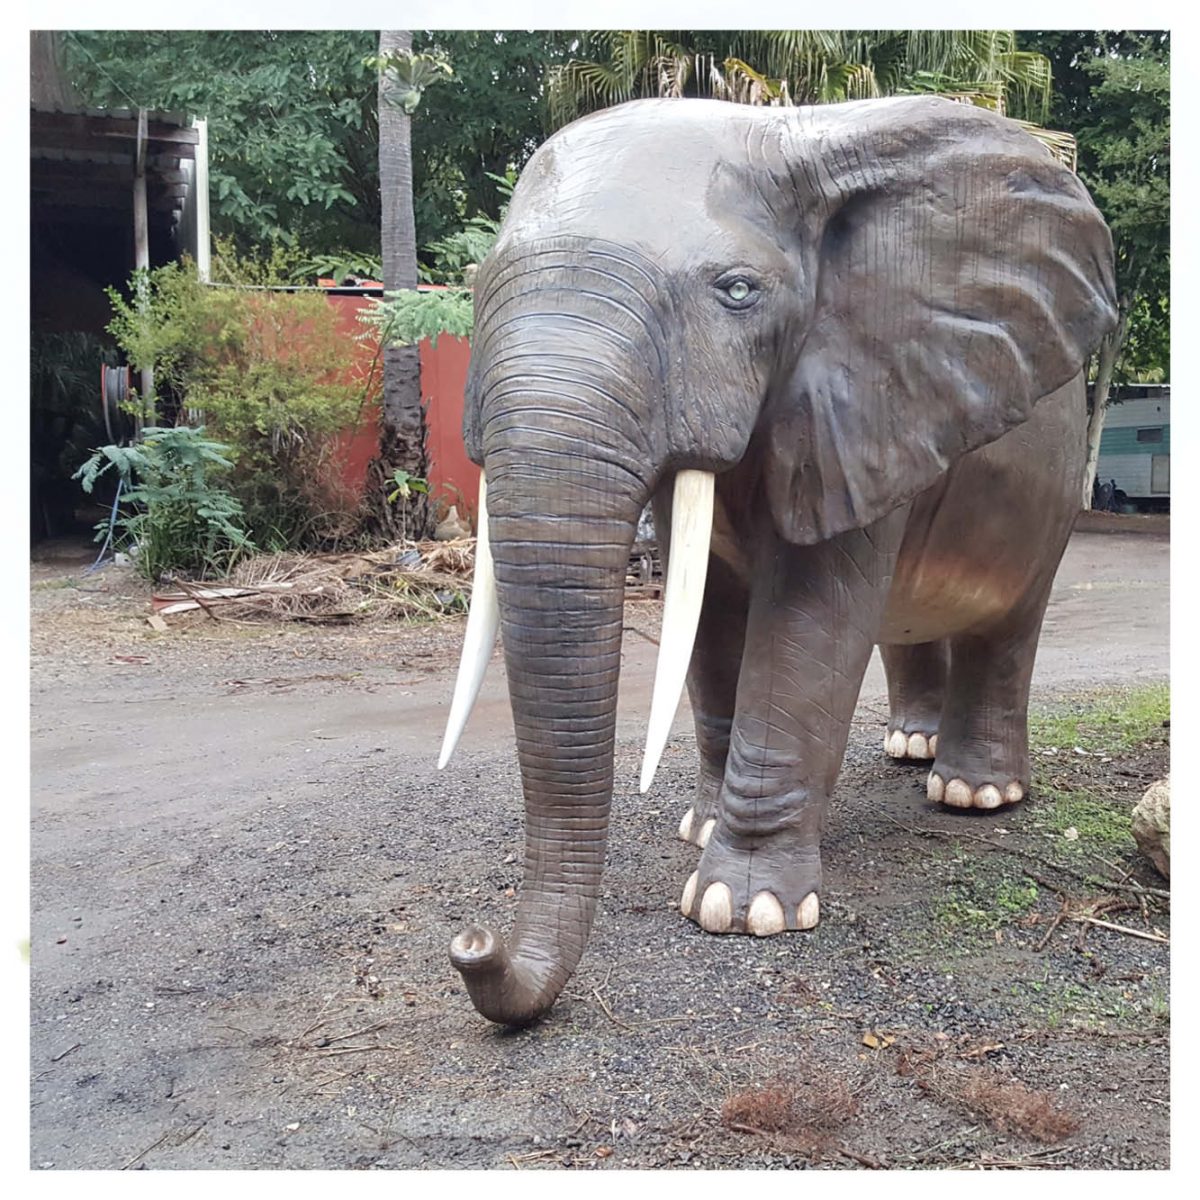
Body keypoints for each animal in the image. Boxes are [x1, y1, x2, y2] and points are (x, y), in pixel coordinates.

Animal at [436, 95, 1117, 1027]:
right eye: (474, 289)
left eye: (738, 292)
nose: (472, 943)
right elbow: (713, 614)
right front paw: (699, 829)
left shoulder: (869, 399)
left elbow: (807, 623)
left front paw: (740, 907)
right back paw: (910, 745)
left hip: (1050, 484)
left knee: (1006, 627)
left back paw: (971, 793)